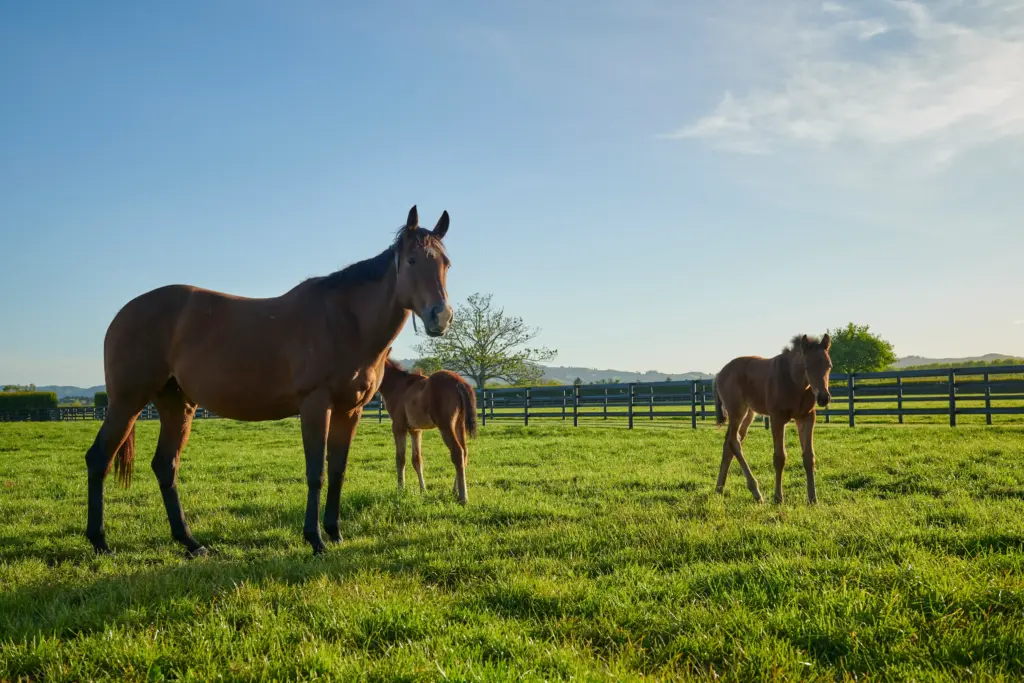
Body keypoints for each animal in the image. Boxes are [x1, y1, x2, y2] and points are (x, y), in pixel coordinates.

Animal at [84, 205, 455, 556]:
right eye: (411, 260)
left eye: (446, 264)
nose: (441, 316)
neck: (345, 321)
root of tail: (123, 314)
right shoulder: (315, 405)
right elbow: (316, 473)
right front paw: (315, 539)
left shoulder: (350, 411)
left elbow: (337, 470)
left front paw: (334, 533)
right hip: (127, 402)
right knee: (99, 458)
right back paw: (100, 541)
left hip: (177, 405)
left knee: (165, 465)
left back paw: (190, 543)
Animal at [377, 355, 478, 504]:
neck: (397, 385)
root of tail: (459, 382)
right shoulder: (415, 430)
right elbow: (417, 460)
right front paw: (423, 490)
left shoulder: (398, 427)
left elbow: (400, 459)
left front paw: (400, 490)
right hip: (459, 424)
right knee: (464, 452)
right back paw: (454, 491)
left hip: (446, 426)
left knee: (457, 452)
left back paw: (463, 497)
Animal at [713, 333, 832, 505]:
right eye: (808, 367)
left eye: (829, 366)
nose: (823, 398)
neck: (794, 381)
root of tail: (720, 374)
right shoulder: (777, 418)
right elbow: (779, 457)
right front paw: (778, 498)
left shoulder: (806, 417)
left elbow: (809, 457)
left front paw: (812, 499)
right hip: (736, 411)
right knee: (734, 442)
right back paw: (756, 492)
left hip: (749, 413)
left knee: (729, 443)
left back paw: (719, 488)